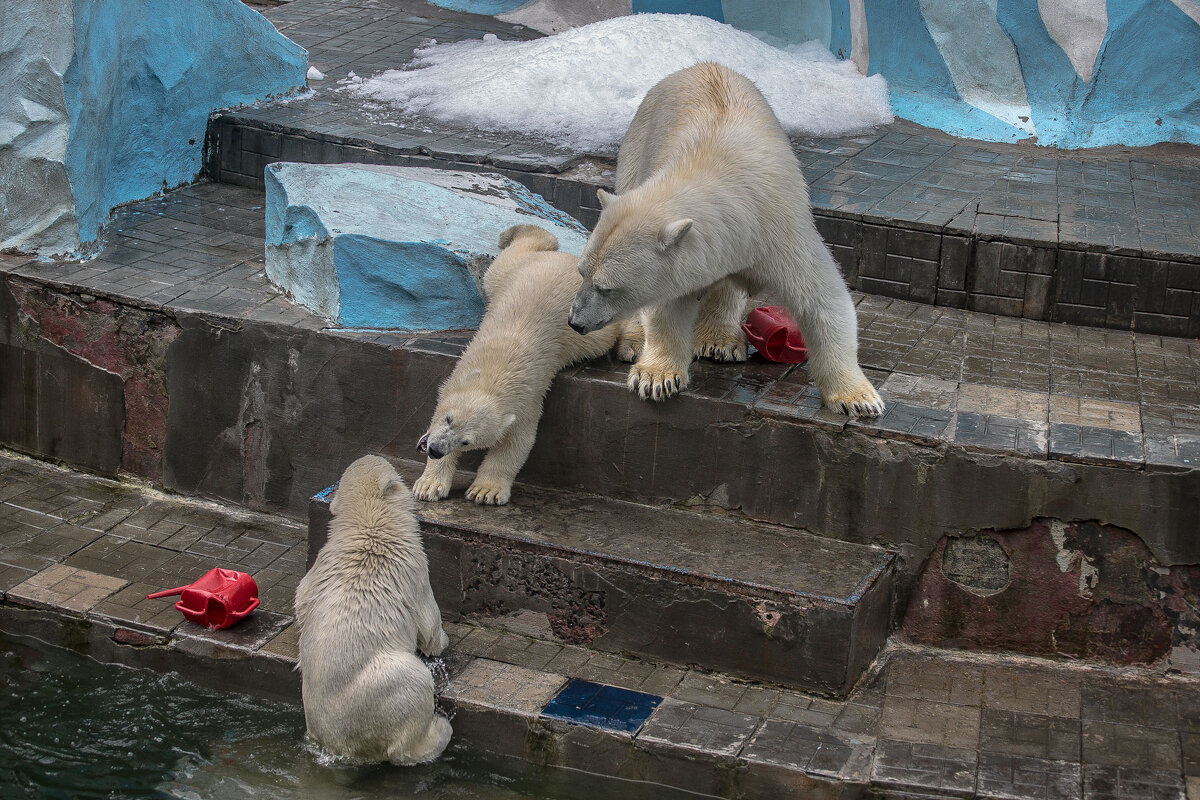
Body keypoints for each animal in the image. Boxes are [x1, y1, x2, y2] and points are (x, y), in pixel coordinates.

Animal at [295, 455, 453, 762]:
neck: (368, 525)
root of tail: (339, 745)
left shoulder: (318, 567)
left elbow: (301, 599)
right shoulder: (414, 566)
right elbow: (428, 624)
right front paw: (442, 640)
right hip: (385, 688)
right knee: (413, 690)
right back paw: (440, 731)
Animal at [412, 221, 638, 503]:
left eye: (467, 441)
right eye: (448, 419)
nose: (434, 449)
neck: (497, 371)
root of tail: (572, 262)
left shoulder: (527, 401)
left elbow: (517, 442)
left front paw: (485, 491)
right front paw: (428, 485)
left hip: (587, 328)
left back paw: (629, 346)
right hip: (514, 272)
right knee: (506, 262)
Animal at [566, 61, 888, 419]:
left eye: (607, 287)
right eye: (582, 273)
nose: (575, 322)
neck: (721, 170)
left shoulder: (777, 228)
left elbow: (822, 299)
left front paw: (859, 399)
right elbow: (667, 304)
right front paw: (656, 377)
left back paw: (719, 341)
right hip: (639, 145)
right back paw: (636, 344)